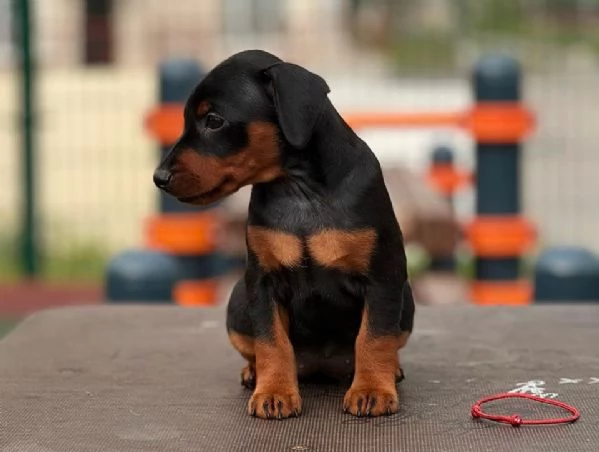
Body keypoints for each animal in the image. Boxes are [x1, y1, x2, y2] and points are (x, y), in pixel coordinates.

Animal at [154, 50, 418, 420]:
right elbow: (271, 342)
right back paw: (254, 373)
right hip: (237, 300)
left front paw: (371, 390)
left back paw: (389, 370)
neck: (298, 188)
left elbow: (375, 336)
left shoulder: (383, 277)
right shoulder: (263, 283)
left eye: (214, 120)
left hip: (405, 300)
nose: (158, 177)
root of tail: (323, 365)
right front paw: (275, 392)